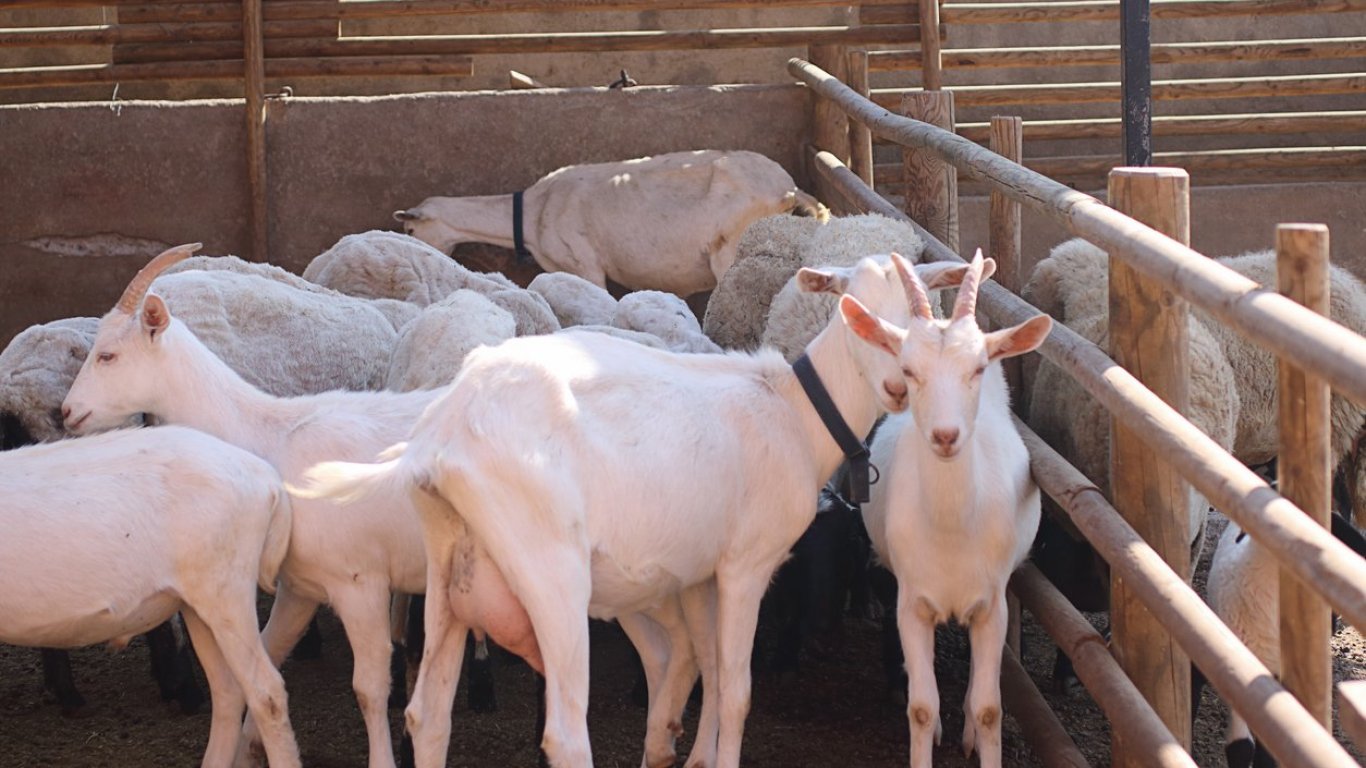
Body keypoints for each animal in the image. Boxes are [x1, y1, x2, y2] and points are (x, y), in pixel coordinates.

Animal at [61, 244, 543, 765]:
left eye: (108, 354)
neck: (269, 437)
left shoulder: (358, 581)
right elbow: (269, 656)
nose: (67, 412)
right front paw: (249, 749)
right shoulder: (301, 587)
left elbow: (369, 688)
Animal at [296, 252, 983, 765]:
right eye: (852, 311)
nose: (897, 385)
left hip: (449, 568)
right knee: (564, 733)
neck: (793, 411)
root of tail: (442, 439)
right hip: (550, 571)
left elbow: (706, 670)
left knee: (426, 715)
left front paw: (695, 754)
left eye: (920, 316)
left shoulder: (702, 574)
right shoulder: (746, 562)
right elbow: (735, 690)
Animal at [857, 250, 1049, 765]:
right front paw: (931, 727)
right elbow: (921, 707)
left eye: (977, 368)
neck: (951, 530)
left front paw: (977, 734)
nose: (946, 436)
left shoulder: (992, 607)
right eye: (909, 370)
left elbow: (989, 709)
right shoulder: (911, 604)